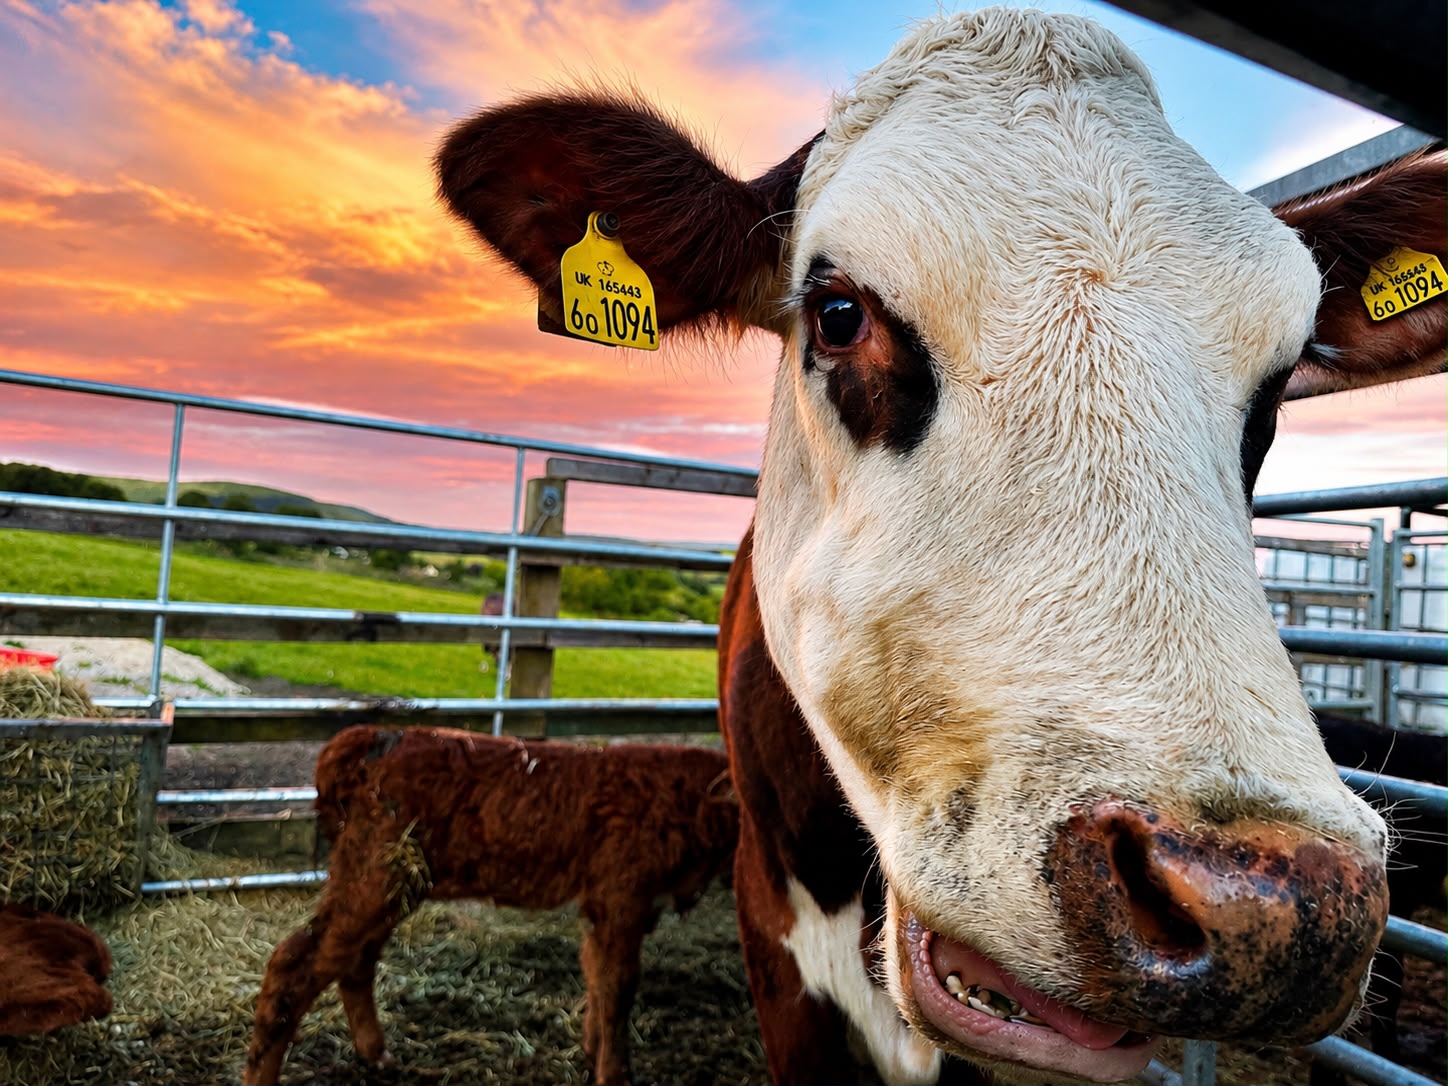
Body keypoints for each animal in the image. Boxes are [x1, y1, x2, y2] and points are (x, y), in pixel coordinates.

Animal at [242, 726, 738, 1086]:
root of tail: (374, 736)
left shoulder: (612, 906)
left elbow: (598, 976)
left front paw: (592, 1050)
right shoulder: (621, 897)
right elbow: (619, 987)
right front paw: (614, 1074)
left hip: (393, 886)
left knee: (355, 961)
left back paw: (378, 1055)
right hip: (373, 876)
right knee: (294, 961)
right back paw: (263, 1076)